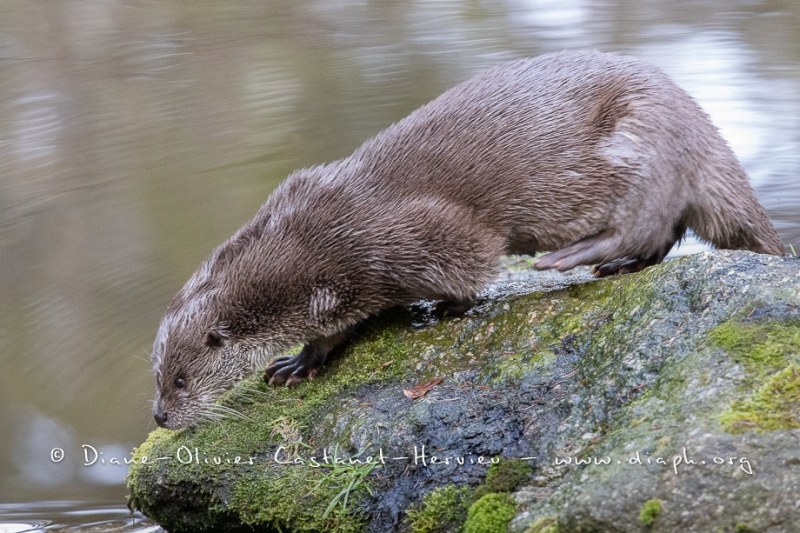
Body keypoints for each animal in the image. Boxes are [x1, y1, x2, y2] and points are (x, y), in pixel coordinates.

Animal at [150, 50, 780, 430]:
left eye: (180, 380)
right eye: (155, 378)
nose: (159, 417)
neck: (303, 241)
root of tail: (700, 128)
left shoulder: (409, 236)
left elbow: (472, 266)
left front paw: (445, 307)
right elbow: (334, 330)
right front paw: (299, 361)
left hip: (643, 143)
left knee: (648, 223)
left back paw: (574, 257)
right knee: (665, 236)